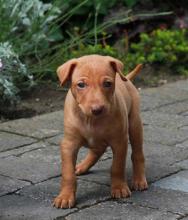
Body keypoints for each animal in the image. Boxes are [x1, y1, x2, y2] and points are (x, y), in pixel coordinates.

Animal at [53, 54, 148, 208]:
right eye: (81, 85)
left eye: (107, 84)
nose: (97, 109)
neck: (91, 121)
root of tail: (126, 79)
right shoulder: (68, 144)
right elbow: (67, 173)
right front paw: (65, 197)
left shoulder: (119, 141)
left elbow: (117, 166)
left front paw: (119, 188)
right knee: (97, 150)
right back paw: (82, 166)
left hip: (135, 125)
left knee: (137, 154)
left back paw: (139, 180)